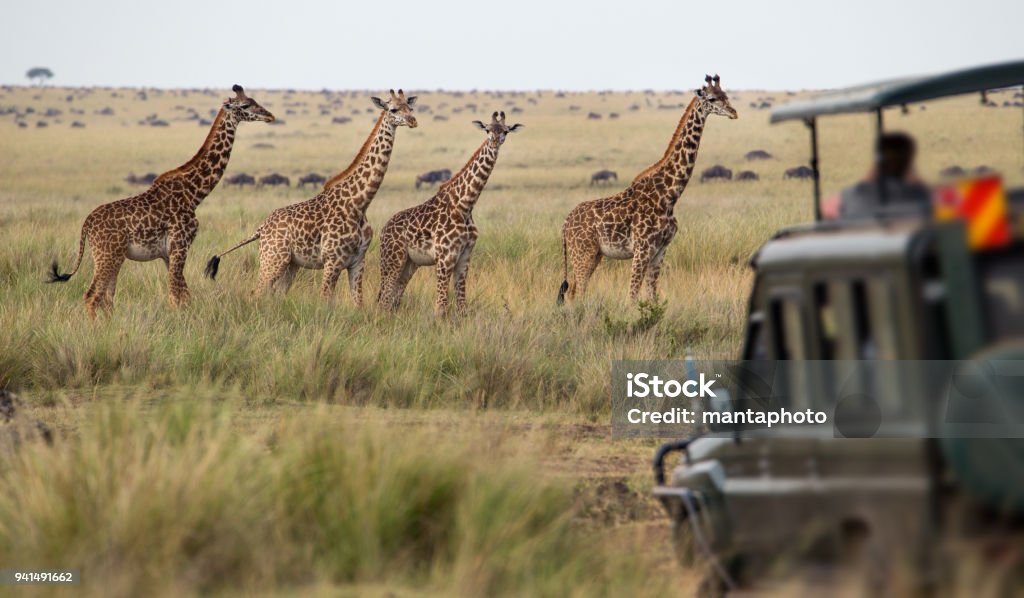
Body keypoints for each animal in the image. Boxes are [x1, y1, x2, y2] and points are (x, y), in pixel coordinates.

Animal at [48, 85, 274, 317]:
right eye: (245, 105)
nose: (270, 116)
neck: (193, 194)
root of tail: (86, 225)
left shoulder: (169, 253)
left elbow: (183, 296)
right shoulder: (180, 246)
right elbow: (176, 296)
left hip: (111, 256)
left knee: (106, 298)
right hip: (107, 255)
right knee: (92, 296)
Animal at [203, 88, 415, 303]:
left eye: (410, 107)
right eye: (393, 109)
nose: (413, 121)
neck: (359, 202)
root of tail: (261, 228)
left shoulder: (357, 261)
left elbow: (358, 303)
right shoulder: (332, 260)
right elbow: (325, 300)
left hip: (290, 264)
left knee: (276, 294)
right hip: (272, 259)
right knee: (257, 292)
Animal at [376, 112, 520, 317]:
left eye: (506, 131)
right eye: (487, 129)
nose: (494, 143)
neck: (465, 205)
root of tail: (383, 231)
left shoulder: (465, 256)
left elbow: (461, 307)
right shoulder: (445, 256)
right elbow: (441, 308)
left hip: (409, 263)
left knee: (393, 300)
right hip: (392, 259)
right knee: (384, 300)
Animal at [561, 75, 737, 303]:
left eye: (726, 95)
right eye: (713, 98)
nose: (734, 112)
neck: (669, 196)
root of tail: (565, 224)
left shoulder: (660, 250)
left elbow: (652, 296)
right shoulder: (642, 249)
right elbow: (632, 297)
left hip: (593, 254)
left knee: (573, 291)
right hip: (583, 252)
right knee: (578, 292)